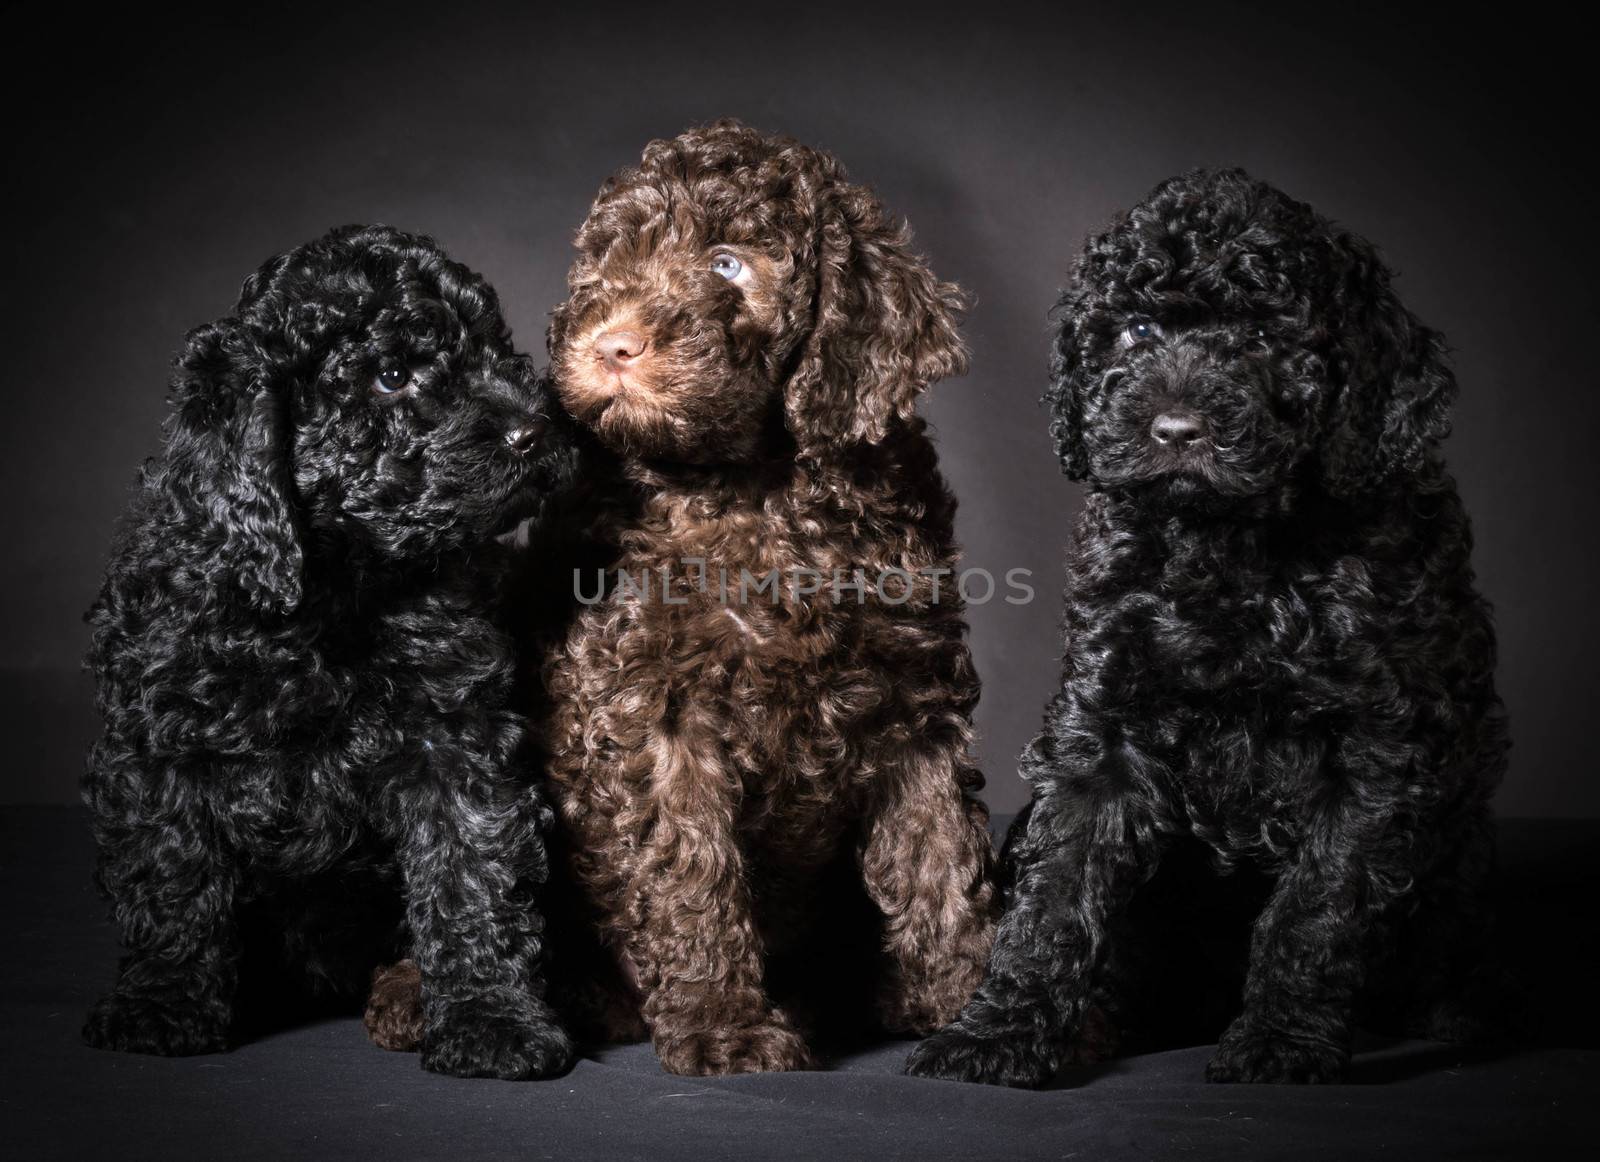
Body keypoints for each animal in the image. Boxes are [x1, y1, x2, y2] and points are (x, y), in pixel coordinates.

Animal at [81, 227, 579, 1081]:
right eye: (391, 377)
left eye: (495, 351)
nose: (536, 430)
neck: (336, 587)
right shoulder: (160, 740)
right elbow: (172, 874)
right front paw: (162, 1003)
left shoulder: (456, 735)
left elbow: (472, 869)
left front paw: (491, 1017)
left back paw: (407, 995)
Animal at [544, 123, 992, 1075]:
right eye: (608, 262)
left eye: (726, 264)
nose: (609, 344)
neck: (760, 489)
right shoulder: (656, 708)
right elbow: (689, 867)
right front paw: (724, 1023)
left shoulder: (914, 703)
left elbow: (940, 857)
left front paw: (975, 1005)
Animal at [908, 170, 1504, 1094]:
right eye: (1137, 331)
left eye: (1263, 337)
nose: (1176, 431)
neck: (1233, 550)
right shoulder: (1103, 723)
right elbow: (1056, 889)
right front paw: (1000, 1030)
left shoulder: (1376, 748)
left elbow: (1316, 907)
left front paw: (1281, 1042)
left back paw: (1452, 1015)